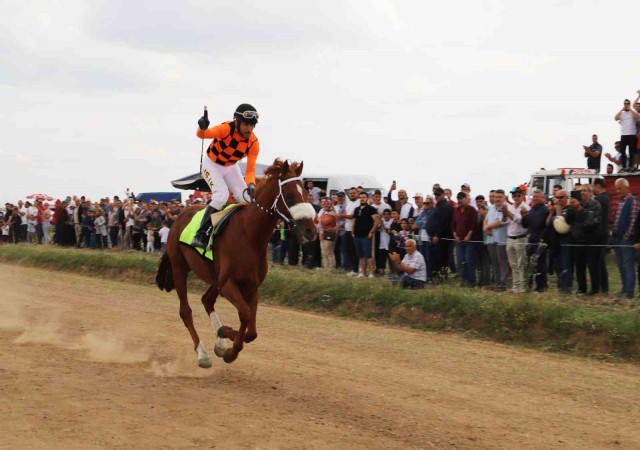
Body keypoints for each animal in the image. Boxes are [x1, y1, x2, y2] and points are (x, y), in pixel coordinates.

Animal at [158, 160, 318, 368]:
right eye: (290, 195)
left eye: (306, 193)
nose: (311, 231)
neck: (250, 235)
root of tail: (178, 216)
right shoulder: (228, 285)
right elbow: (246, 314)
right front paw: (230, 348)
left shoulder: (251, 286)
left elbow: (252, 331)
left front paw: (225, 339)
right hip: (180, 268)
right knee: (185, 311)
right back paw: (202, 354)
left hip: (214, 278)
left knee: (207, 300)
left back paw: (219, 344)